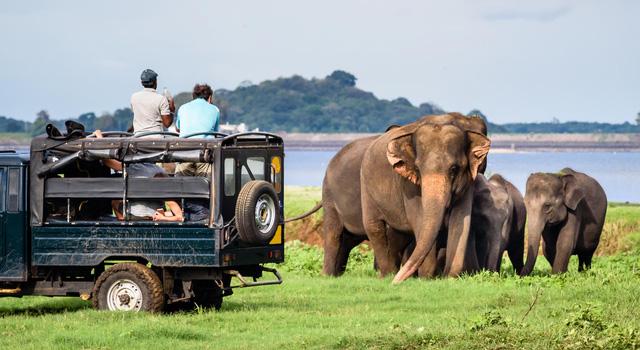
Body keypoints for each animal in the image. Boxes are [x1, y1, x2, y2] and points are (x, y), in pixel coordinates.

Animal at [360, 116, 490, 284]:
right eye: (418, 169)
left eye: (454, 169)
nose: (395, 282)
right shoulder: (408, 185)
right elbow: (419, 220)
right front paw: (427, 278)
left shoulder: (468, 182)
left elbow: (461, 220)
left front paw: (449, 278)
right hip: (366, 187)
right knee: (374, 227)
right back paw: (387, 275)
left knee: (397, 235)